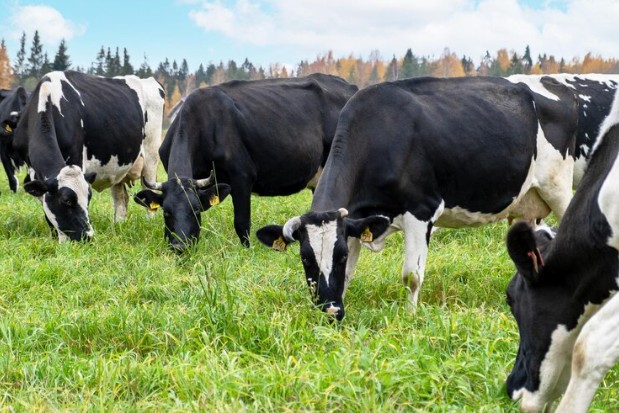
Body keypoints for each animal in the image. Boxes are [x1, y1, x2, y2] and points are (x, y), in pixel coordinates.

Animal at [13, 69, 166, 240]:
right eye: (66, 201)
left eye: (88, 198)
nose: (88, 236)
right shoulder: (33, 170)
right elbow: (46, 207)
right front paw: (54, 236)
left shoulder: (76, 157)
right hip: (118, 165)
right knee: (121, 198)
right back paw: (118, 225)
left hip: (151, 155)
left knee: (149, 193)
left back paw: (149, 223)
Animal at [134, 72, 358, 249]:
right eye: (166, 213)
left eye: (196, 210)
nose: (180, 246)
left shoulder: (241, 176)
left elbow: (241, 222)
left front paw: (246, 250)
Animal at [256, 75, 576, 320]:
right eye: (305, 257)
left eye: (340, 254)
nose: (331, 311)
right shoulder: (356, 221)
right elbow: (347, 275)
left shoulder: (421, 211)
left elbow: (411, 276)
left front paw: (410, 318)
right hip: (527, 207)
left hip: (559, 189)